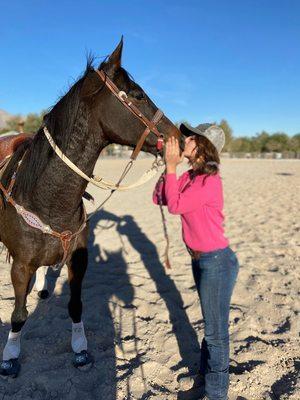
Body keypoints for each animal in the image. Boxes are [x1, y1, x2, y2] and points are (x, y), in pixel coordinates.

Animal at [0, 38, 183, 378]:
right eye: (138, 94)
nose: (178, 136)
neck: (47, 199)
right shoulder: (19, 266)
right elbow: (18, 313)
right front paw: (10, 356)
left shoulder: (78, 259)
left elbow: (75, 306)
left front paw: (80, 349)